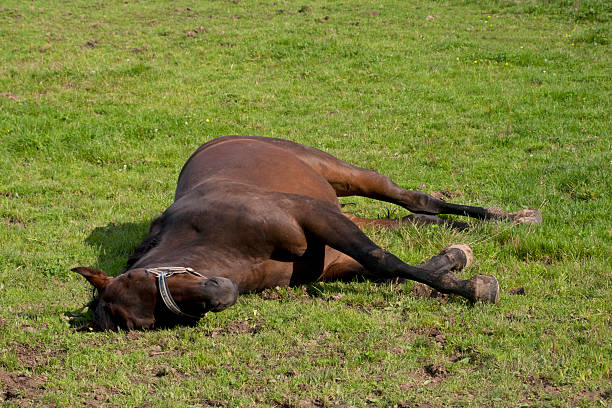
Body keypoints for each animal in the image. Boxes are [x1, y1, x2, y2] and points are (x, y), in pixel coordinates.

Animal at [73, 137, 540, 332]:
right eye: (149, 322)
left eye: (141, 278)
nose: (221, 294)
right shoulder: (328, 256)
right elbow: (389, 266)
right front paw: (457, 261)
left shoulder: (312, 215)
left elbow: (382, 259)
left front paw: (474, 287)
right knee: (416, 219)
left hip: (344, 176)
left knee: (415, 199)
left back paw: (516, 217)